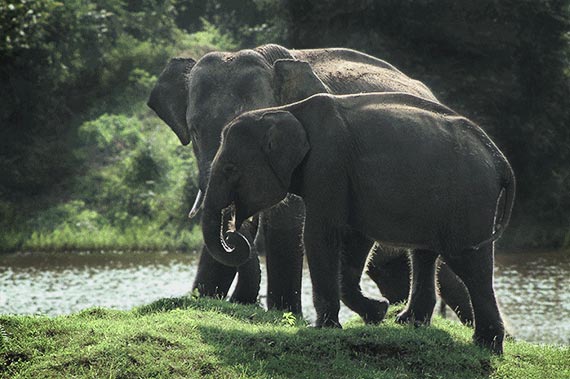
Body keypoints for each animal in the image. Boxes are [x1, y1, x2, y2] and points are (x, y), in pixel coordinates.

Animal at [145, 43, 470, 324]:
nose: (244, 302)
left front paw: (284, 315)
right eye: (194, 132)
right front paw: (203, 300)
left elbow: (287, 223)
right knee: (392, 270)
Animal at [204, 91, 516, 354]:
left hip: (469, 202)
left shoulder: (328, 165)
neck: (285, 110)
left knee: (469, 265)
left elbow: (320, 235)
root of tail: (500, 160)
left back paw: (486, 345)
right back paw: (408, 322)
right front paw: (377, 312)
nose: (233, 235)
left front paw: (325, 328)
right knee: (425, 256)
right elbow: (355, 240)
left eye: (230, 169)